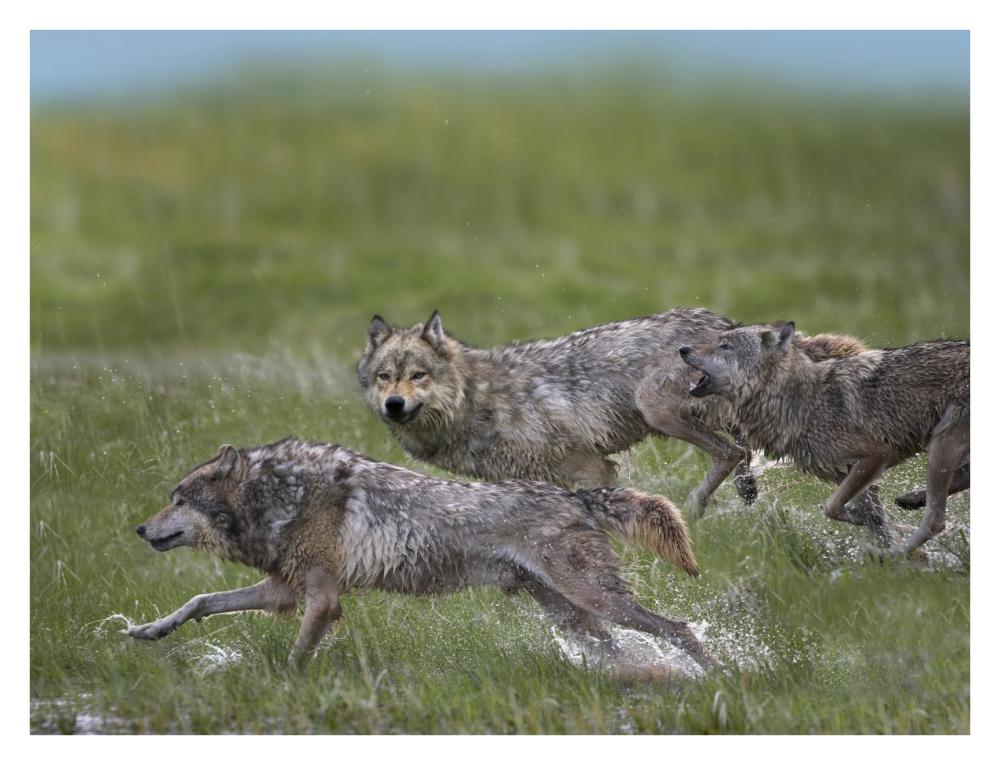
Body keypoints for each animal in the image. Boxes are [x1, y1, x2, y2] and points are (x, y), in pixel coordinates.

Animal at [129, 438, 719, 671]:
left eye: (178, 499)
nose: (138, 528)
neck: (281, 495)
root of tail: (575, 497)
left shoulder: (322, 600)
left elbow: (295, 658)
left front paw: (281, 690)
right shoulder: (283, 589)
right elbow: (201, 601)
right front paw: (148, 631)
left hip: (595, 600)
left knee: (679, 629)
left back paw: (722, 675)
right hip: (572, 615)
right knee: (622, 651)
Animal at [357, 308, 869, 514]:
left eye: (418, 375)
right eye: (385, 377)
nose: (394, 404)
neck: (477, 400)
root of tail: (727, 324)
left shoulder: (592, 467)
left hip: (654, 406)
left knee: (731, 453)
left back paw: (696, 507)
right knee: (741, 452)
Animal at [678, 323, 970, 555]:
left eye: (725, 346)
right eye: (718, 341)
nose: (682, 349)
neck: (799, 401)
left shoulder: (877, 455)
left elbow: (832, 507)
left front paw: (867, 530)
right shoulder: (848, 473)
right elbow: (869, 517)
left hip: (940, 446)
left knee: (935, 520)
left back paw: (894, 552)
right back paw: (910, 501)